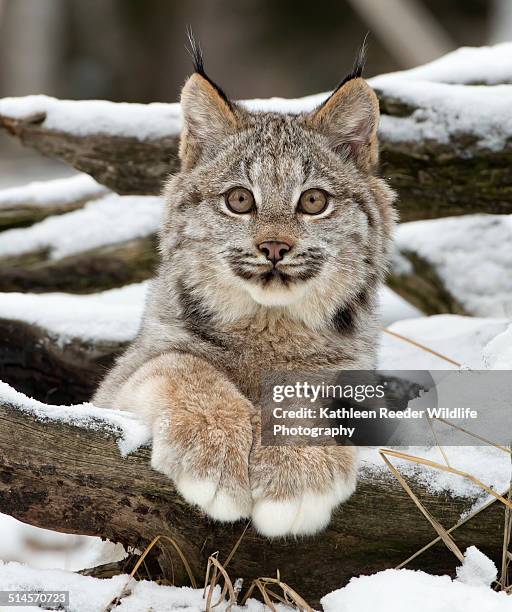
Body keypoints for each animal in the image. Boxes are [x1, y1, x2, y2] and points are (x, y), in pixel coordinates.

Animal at [94, 37, 396, 536]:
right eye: (239, 200)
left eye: (313, 201)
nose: (274, 247)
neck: (269, 325)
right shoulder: (116, 385)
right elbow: (181, 366)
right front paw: (214, 452)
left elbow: (305, 392)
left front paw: (297, 473)